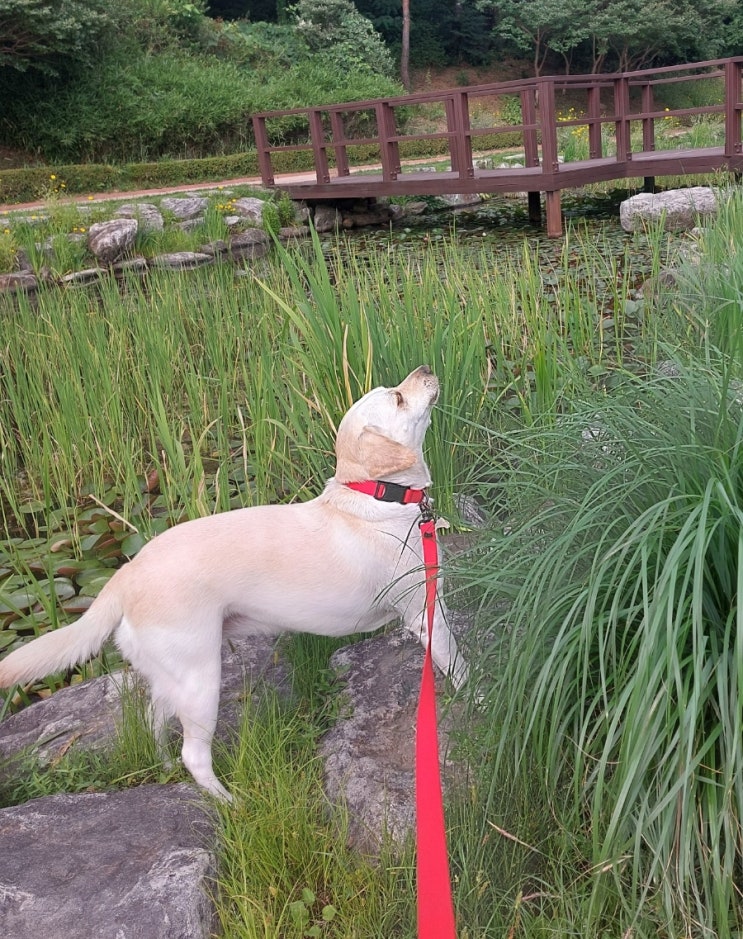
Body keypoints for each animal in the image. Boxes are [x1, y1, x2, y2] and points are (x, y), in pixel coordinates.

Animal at [0, 368, 464, 800]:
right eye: (398, 398)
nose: (425, 368)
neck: (373, 495)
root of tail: (127, 572)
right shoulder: (424, 615)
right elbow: (461, 665)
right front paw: (475, 698)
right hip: (201, 680)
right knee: (194, 755)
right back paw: (229, 802)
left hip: (171, 679)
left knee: (155, 722)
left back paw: (165, 768)